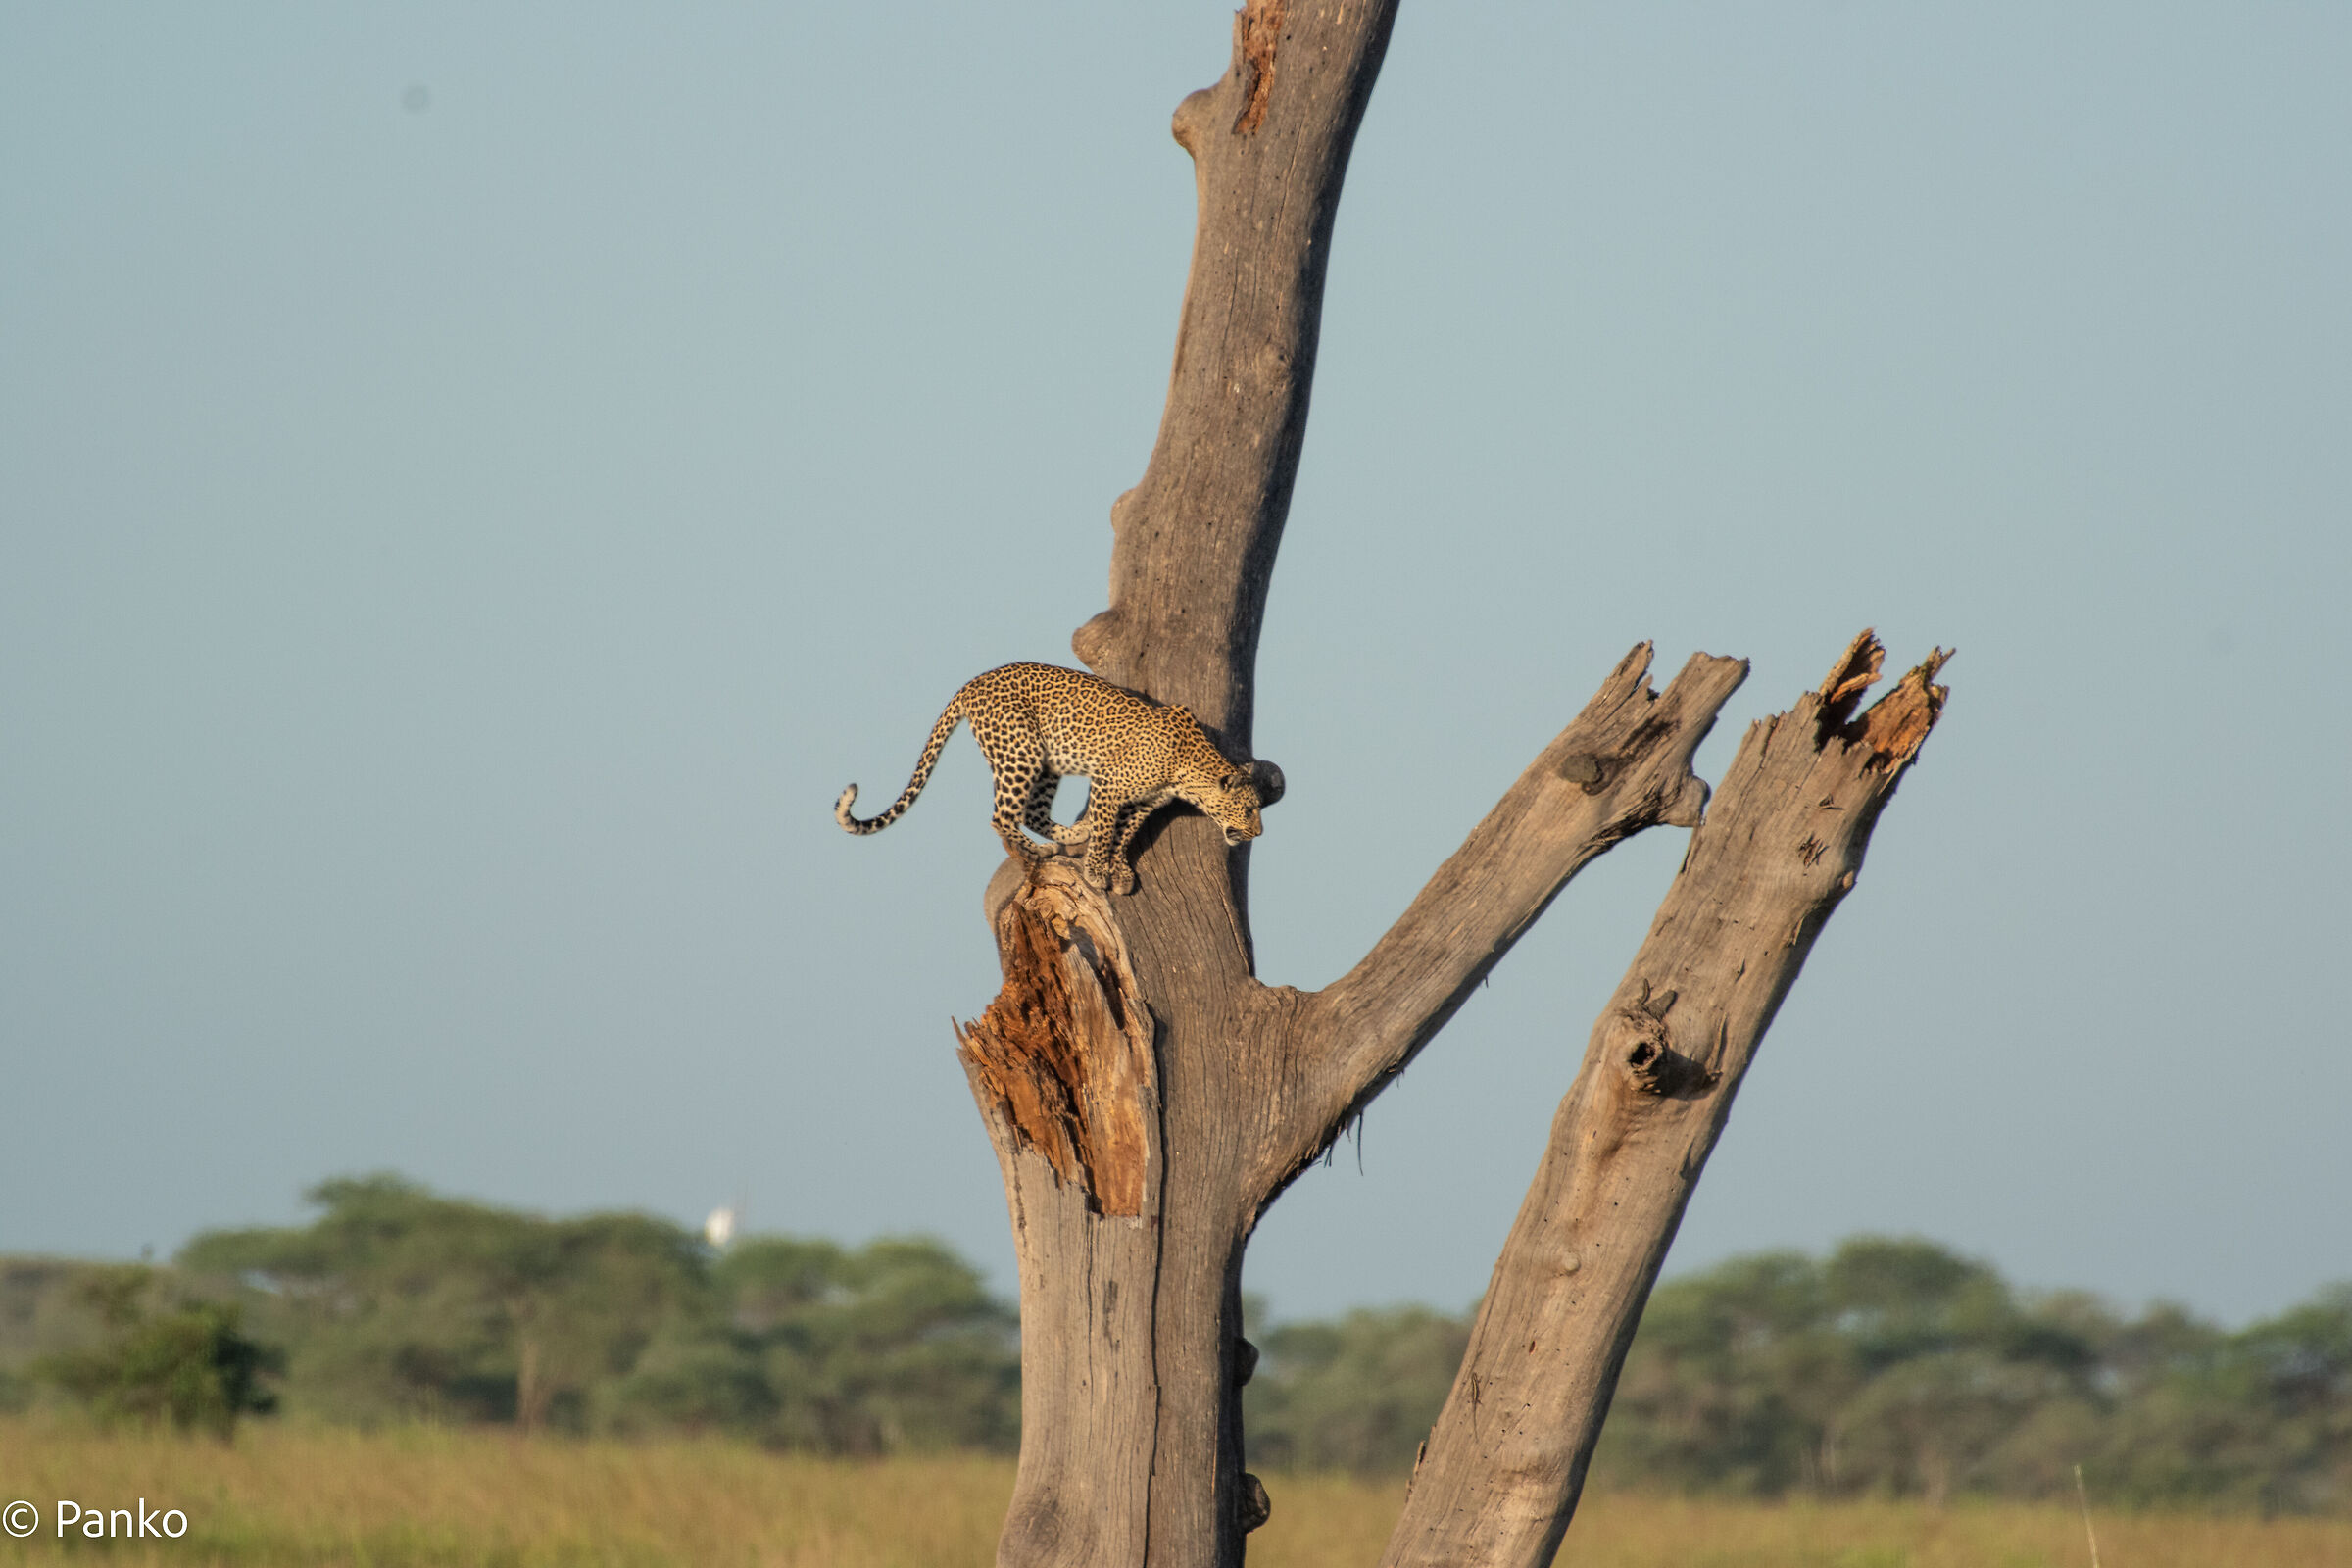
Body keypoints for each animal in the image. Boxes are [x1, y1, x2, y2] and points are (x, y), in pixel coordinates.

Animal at [835, 662, 1264, 894]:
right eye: (1248, 810)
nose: (1258, 833)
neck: (1189, 774)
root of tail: (974, 682)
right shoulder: (1108, 784)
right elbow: (1108, 832)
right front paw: (1097, 872)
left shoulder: (1143, 803)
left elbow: (1124, 835)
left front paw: (1120, 870)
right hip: (1020, 752)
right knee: (1002, 816)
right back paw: (1039, 850)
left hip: (1048, 762)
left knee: (1033, 812)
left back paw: (1072, 832)